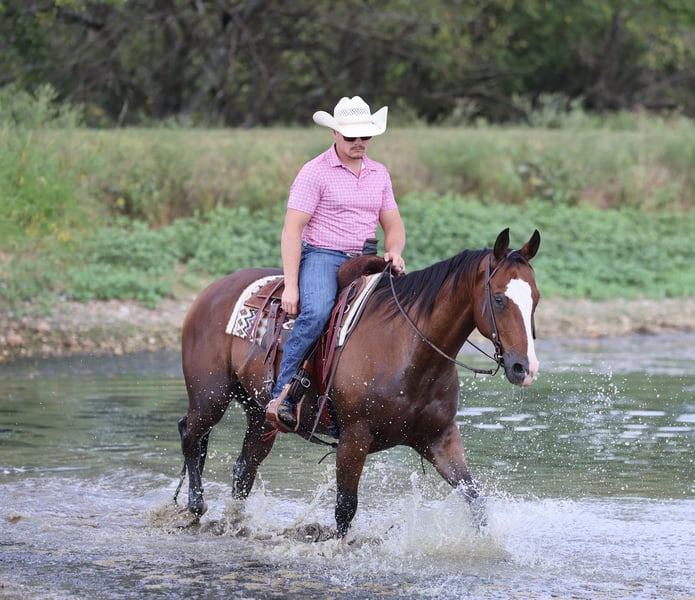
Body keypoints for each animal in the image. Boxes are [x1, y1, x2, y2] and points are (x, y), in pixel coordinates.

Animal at [176, 228, 541, 537]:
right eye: (499, 299)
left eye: (535, 298)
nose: (525, 367)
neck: (408, 349)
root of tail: (212, 291)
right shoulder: (354, 438)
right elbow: (345, 507)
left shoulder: (440, 437)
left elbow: (475, 498)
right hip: (210, 397)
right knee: (190, 434)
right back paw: (195, 507)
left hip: (259, 414)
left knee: (244, 468)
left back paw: (233, 523)